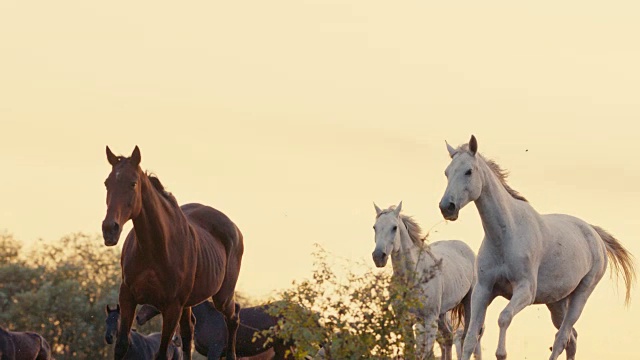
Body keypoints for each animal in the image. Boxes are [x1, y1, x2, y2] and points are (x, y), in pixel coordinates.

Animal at [101, 146, 244, 360]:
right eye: (107, 183)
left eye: (133, 183)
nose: (109, 229)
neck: (154, 250)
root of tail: (234, 228)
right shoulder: (127, 297)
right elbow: (121, 346)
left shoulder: (172, 307)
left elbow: (162, 353)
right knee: (188, 332)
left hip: (222, 297)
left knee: (233, 318)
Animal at [372, 202, 482, 360]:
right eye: (374, 227)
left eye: (394, 227)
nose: (378, 256)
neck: (413, 278)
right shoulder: (407, 321)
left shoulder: (429, 320)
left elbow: (426, 354)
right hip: (440, 315)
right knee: (448, 338)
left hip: (466, 306)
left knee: (464, 339)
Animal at [438, 136, 636, 360]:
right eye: (447, 172)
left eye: (469, 171)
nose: (447, 207)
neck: (505, 235)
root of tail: (595, 234)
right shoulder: (483, 290)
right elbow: (471, 336)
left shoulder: (525, 290)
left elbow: (504, 318)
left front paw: (501, 353)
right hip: (557, 302)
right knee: (571, 339)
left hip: (580, 296)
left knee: (561, 339)